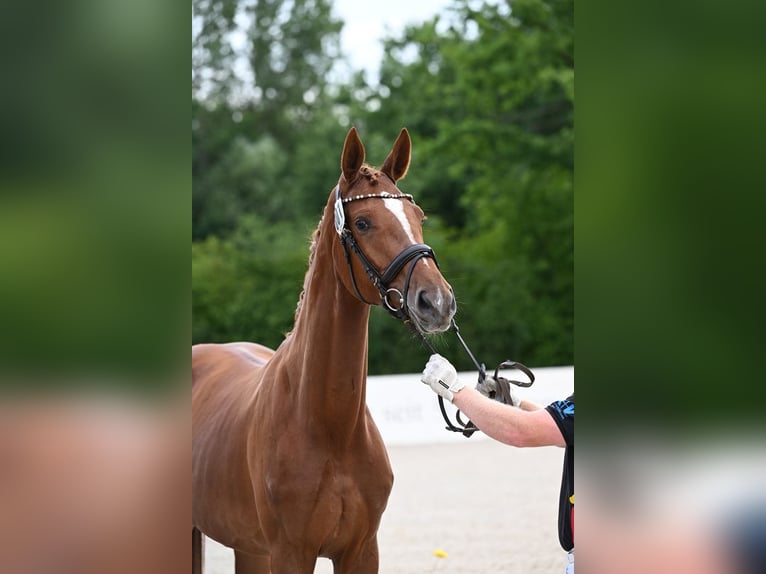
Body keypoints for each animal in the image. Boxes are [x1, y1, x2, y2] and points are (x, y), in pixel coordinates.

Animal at [192, 127, 456, 573]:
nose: (436, 302)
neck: (331, 428)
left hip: (248, 547)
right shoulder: (290, 553)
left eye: (419, 217)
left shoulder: (362, 550)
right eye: (363, 223)